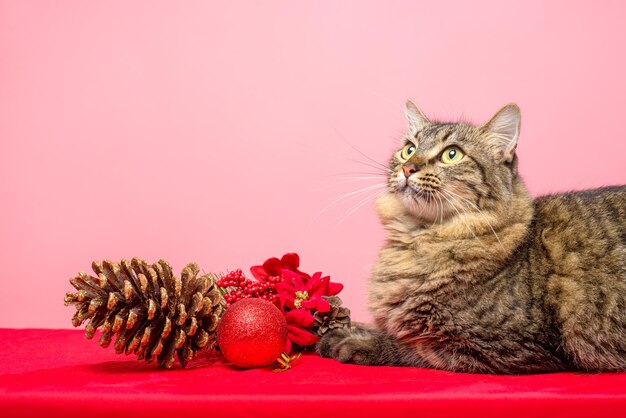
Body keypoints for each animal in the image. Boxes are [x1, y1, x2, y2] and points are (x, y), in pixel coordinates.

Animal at [316, 100, 624, 372]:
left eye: (452, 154)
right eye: (408, 149)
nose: (408, 168)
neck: (418, 238)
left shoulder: (503, 345)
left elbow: (411, 346)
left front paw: (353, 340)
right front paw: (345, 326)